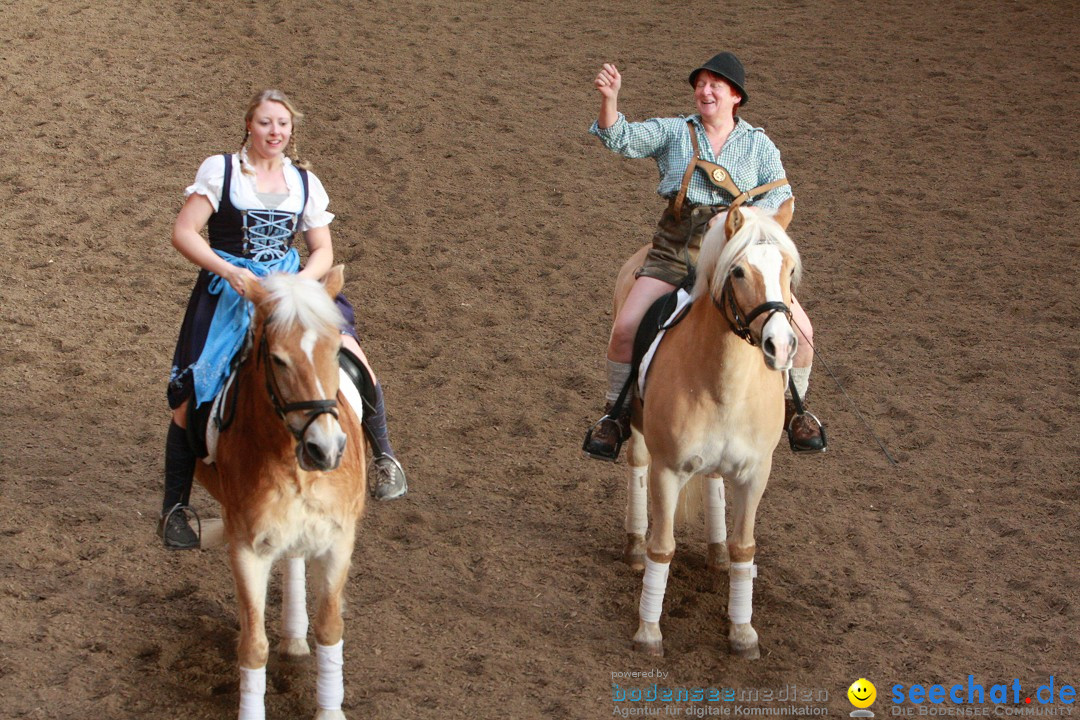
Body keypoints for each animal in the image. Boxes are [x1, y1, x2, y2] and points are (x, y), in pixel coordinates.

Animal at [200, 267, 369, 716]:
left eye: (335, 351)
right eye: (278, 359)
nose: (326, 449)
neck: (295, 468)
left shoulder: (339, 539)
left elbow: (330, 627)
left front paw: (330, 708)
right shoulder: (246, 546)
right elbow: (252, 646)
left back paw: (295, 636)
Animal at [617, 201, 803, 660]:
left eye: (789, 270)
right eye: (738, 272)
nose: (781, 346)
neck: (726, 385)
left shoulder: (756, 473)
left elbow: (745, 546)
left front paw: (743, 631)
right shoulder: (668, 470)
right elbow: (662, 548)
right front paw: (648, 631)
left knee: (716, 480)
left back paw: (717, 553)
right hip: (638, 429)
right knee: (636, 465)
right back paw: (633, 545)